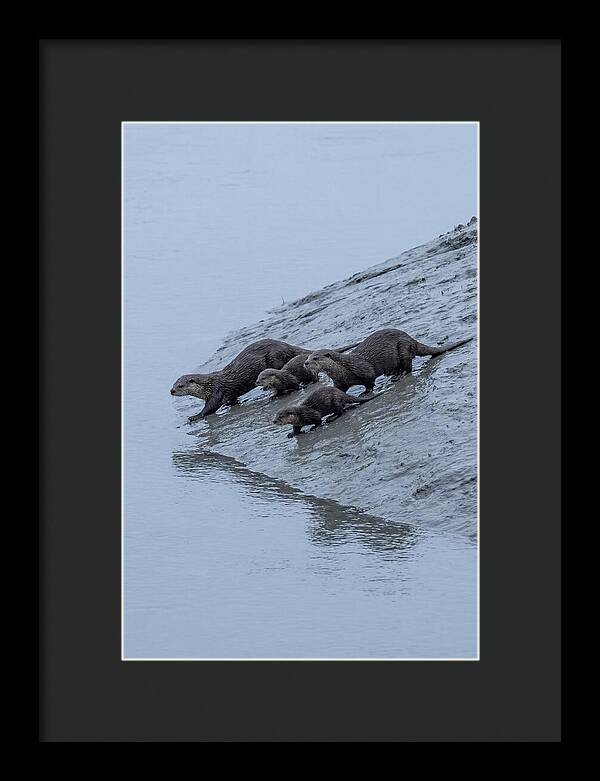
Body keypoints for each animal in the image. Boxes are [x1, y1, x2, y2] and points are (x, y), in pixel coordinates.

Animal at [171, 338, 359, 420]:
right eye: (173, 384)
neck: (208, 385)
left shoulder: (216, 391)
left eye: (180, 385)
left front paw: (195, 416)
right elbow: (232, 399)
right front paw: (231, 405)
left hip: (275, 357)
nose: (171, 391)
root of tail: (284, 344)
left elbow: (210, 407)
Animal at [304, 328, 473, 392]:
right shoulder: (340, 382)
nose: (306, 363)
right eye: (307, 357)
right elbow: (339, 390)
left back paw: (400, 375)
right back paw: (393, 374)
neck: (344, 369)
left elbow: (369, 381)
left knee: (408, 366)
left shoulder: (363, 369)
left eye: (315, 358)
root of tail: (411, 339)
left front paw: (365, 393)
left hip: (403, 347)